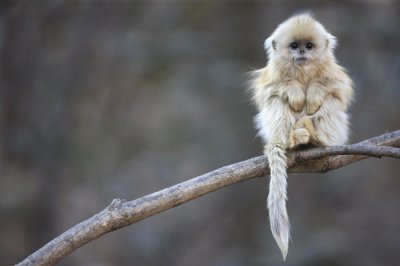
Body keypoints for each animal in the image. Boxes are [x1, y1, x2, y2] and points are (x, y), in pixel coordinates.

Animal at [250, 13, 354, 258]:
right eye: (294, 46)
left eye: (309, 46)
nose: (302, 54)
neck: (303, 71)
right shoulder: (271, 75)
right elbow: (268, 91)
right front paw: (295, 91)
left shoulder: (333, 73)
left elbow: (339, 89)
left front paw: (314, 92)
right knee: (277, 101)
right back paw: (292, 140)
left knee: (331, 101)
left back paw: (318, 139)